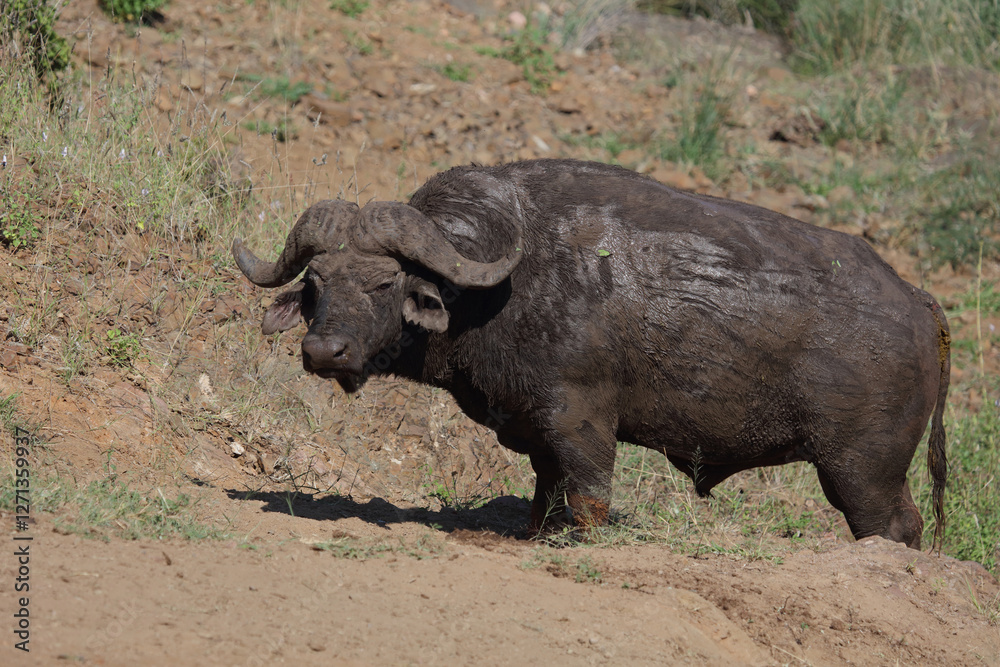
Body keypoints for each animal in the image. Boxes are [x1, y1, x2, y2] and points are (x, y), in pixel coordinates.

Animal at [233, 159, 949, 550]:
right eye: (316, 282)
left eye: (385, 283)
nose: (323, 350)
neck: (504, 287)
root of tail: (918, 301)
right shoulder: (539, 436)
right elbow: (543, 503)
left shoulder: (580, 424)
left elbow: (589, 503)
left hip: (860, 471)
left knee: (895, 528)